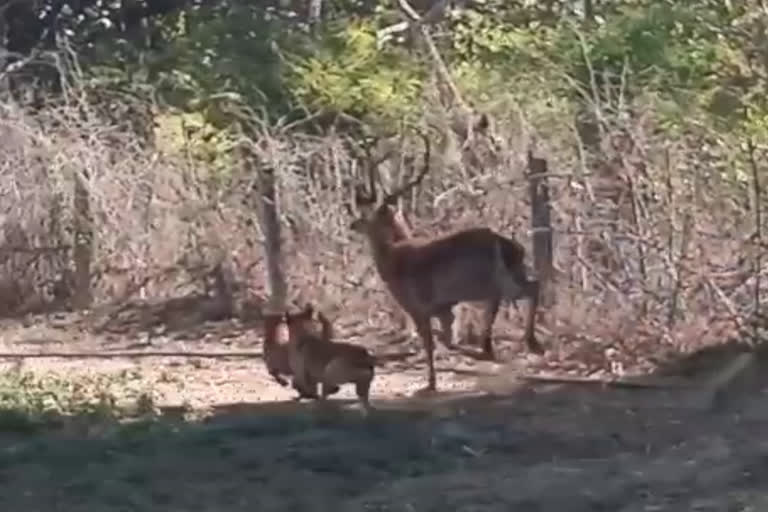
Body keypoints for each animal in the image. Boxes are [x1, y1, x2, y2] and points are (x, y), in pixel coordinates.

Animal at [344, 127, 544, 392]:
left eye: (368, 216)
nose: (353, 224)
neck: (394, 257)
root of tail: (509, 246)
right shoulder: (445, 308)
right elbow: (448, 339)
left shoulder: (417, 307)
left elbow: (431, 342)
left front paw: (430, 383)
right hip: (505, 277)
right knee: (526, 288)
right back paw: (498, 346)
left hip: (490, 282)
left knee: (530, 289)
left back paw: (526, 343)